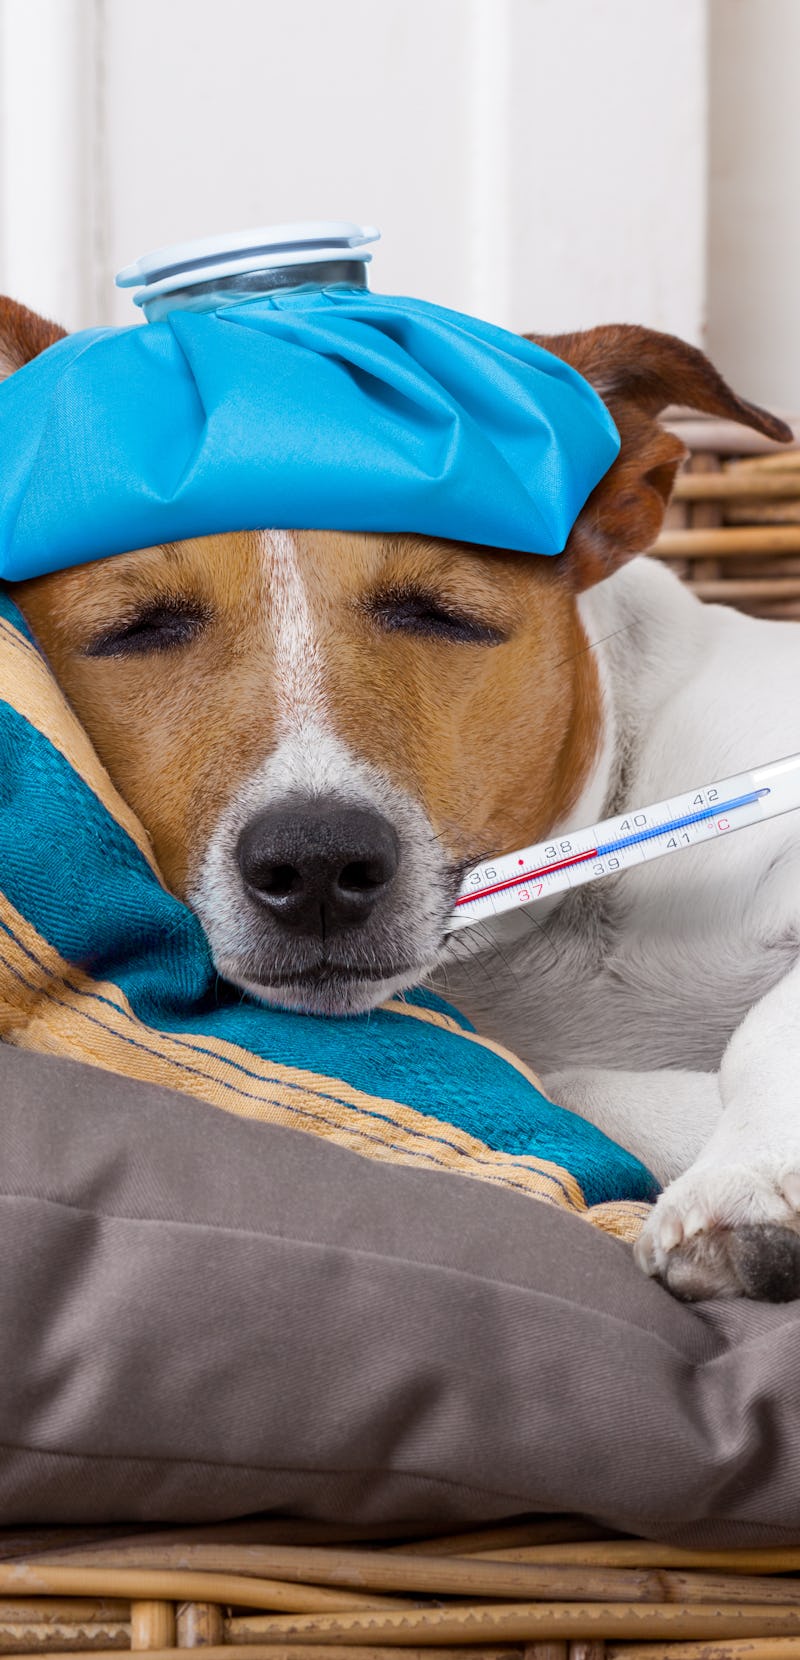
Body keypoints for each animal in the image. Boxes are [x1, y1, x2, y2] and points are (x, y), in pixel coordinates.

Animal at [6, 302, 800, 1308]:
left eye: (441, 614)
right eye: (138, 629)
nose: (315, 862)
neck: (548, 943)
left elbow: (756, 1032)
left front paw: (746, 1183)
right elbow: (569, 1082)